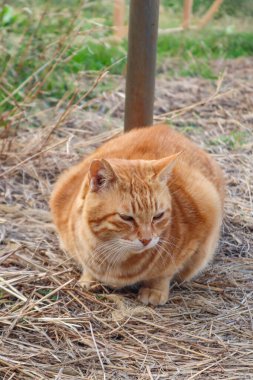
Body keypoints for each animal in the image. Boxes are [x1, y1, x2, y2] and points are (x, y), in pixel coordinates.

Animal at [50, 124, 224, 306]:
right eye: (127, 218)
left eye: (158, 216)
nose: (146, 240)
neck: (110, 253)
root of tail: (164, 128)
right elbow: (86, 265)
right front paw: (89, 278)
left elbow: (165, 273)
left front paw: (155, 289)